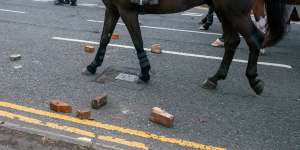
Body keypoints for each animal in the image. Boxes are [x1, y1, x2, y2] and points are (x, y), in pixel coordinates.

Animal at [82, 0, 288, 95]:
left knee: (254, 39)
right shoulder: (113, 8)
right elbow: (104, 38)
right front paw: (93, 65)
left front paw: (145, 72)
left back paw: (254, 80)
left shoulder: (127, 10)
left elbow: (137, 41)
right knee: (232, 42)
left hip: (235, 12)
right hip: (224, 11)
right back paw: (215, 78)